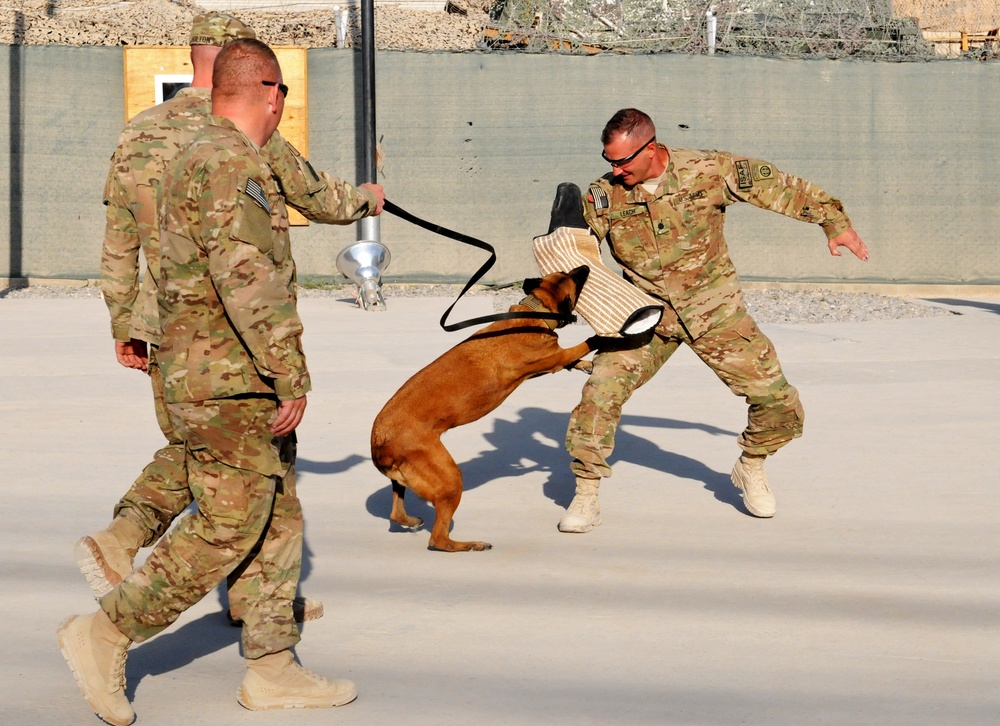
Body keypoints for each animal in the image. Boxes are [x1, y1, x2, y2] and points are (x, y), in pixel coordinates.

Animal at [374, 268, 592, 552]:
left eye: (564, 273)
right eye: (573, 279)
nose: (585, 267)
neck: (533, 313)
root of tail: (379, 442)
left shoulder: (551, 362)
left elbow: (574, 359)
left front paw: (586, 364)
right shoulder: (554, 357)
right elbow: (584, 345)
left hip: (405, 481)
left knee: (396, 513)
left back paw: (410, 521)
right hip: (450, 479)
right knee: (438, 539)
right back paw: (470, 545)